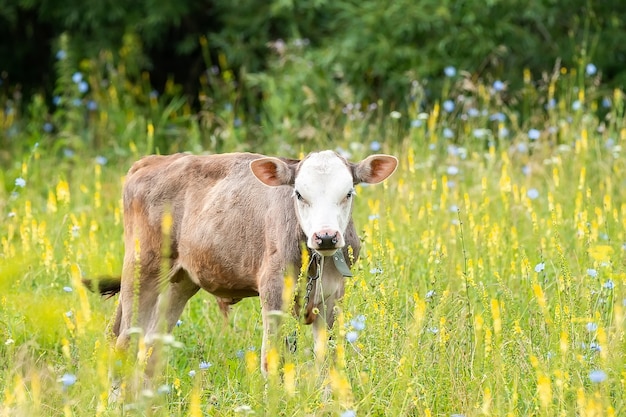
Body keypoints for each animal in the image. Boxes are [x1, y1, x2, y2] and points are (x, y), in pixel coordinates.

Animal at [89, 150, 394, 374]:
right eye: (299, 194)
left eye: (348, 193)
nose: (327, 236)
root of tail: (153, 160)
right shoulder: (273, 289)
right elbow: (271, 359)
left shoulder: (332, 297)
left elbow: (327, 359)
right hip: (143, 270)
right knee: (124, 344)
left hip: (179, 281)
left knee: (151, 346)